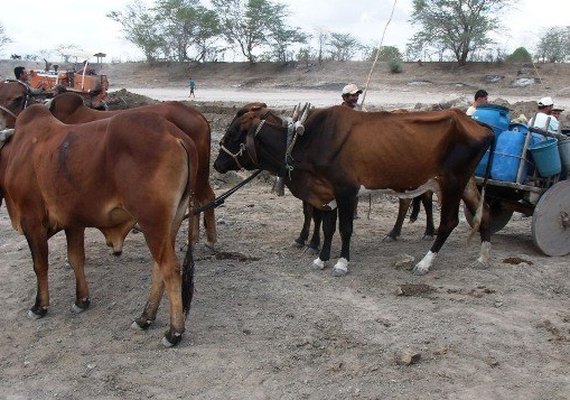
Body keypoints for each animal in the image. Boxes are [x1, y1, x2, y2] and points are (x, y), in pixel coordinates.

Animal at [0, 104, 197, 346]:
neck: (15, 153)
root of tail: (174, 134)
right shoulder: (73, 222)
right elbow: (76, 259)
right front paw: (81, 300)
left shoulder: (32, 221)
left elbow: (40, 265)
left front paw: (40, 306)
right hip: (170, 222)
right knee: (158, 267)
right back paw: (145, 318)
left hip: (152, 222)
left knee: (170, 269)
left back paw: (174, 331)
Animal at [214, 104, 492, 276]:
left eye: (231, 134)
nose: (216, 164)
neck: (308, 141)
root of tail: (477, 124)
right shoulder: (325, 194)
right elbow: (327, 227)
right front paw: (321, 258)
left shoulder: (345, 191)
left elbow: (345, 229)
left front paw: (341, 263)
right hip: (465, 183)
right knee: (484, 212)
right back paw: (482, 257)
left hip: (452, 182)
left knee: (449, 222)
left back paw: (425, 263)